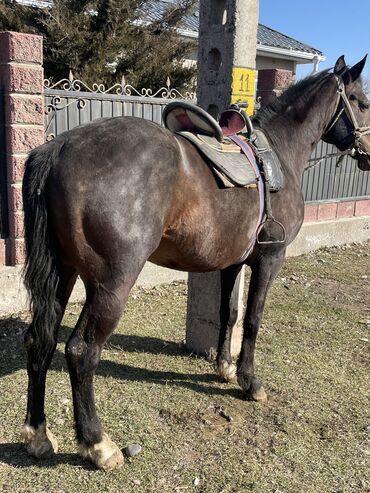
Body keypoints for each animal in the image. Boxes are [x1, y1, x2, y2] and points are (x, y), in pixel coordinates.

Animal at [21, 55, 370, 468]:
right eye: (362, 101)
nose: (369, 151)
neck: (279, 155)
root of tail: (58, 148)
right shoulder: (270, 258)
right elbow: (252, 320)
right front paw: (250, 381)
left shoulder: (233, 262)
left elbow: (228, 314)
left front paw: (224, 367)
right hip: (111, 285)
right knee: (80, 351)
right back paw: (98, 444)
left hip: (63, 273)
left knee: (39, 340)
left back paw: (38, 435)